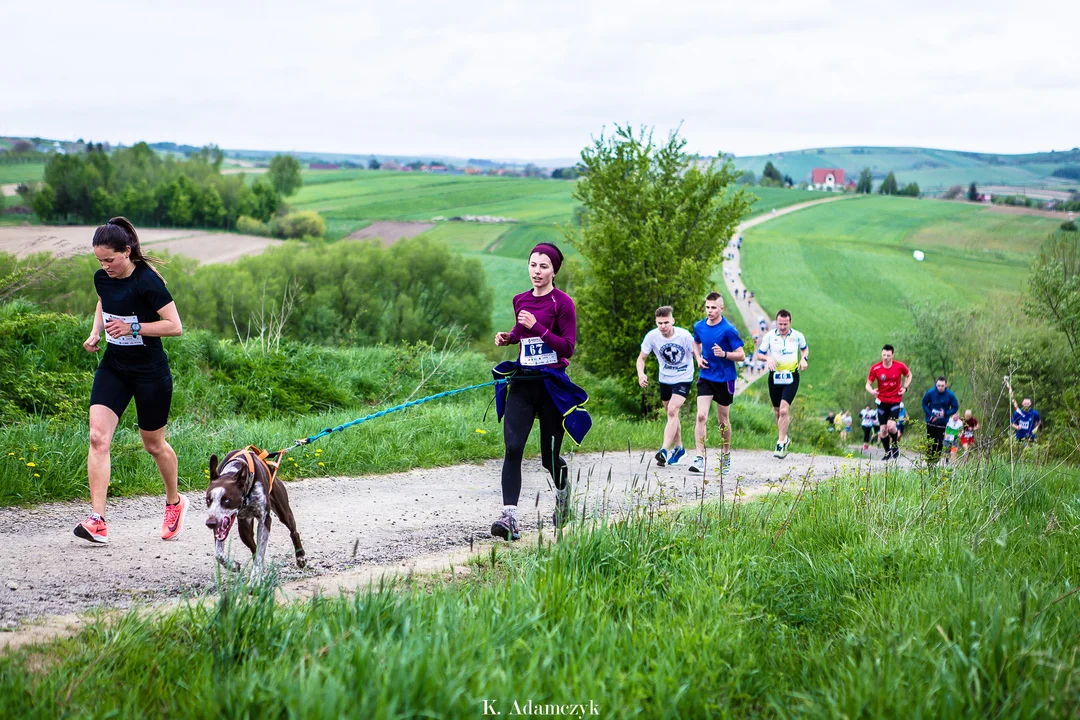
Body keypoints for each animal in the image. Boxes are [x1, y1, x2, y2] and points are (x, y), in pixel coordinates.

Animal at [204, 446, 306, 578]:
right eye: (208, 500)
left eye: (226, 500)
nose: (210, 523)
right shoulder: (226, 525)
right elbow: (218, 554)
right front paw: (233, 565)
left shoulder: (265, 520)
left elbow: (260, 551)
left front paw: (255, 578)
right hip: (244, 529)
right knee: (253, 547)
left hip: (283, 512)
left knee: (293, 532)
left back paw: (300, 557)